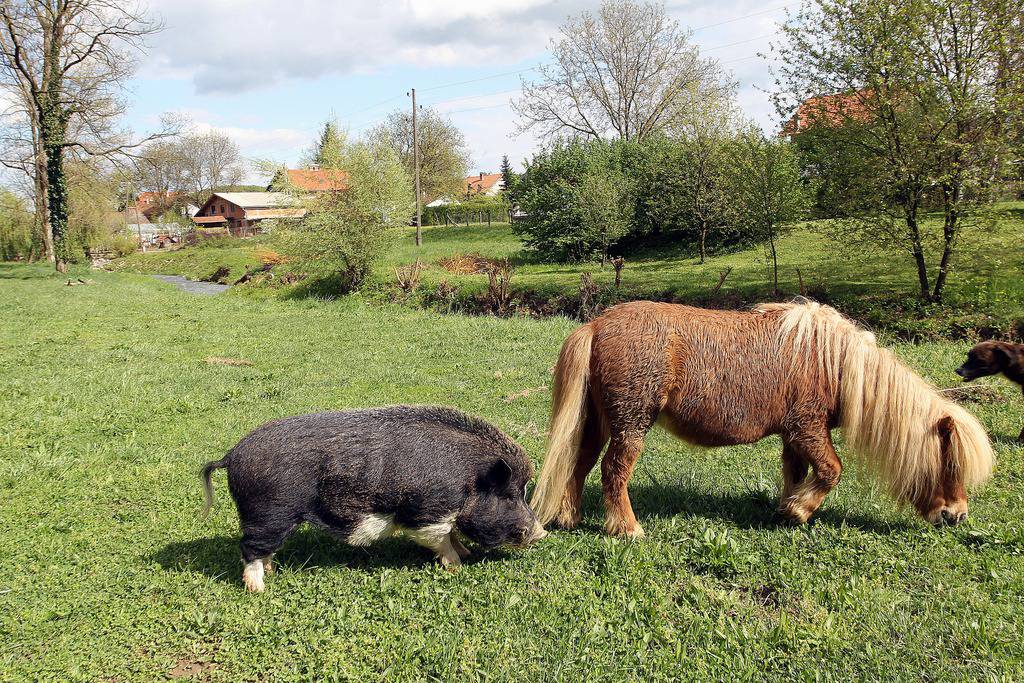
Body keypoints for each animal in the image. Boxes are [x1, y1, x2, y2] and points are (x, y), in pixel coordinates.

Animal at [202, 405, 548, 593]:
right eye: (510, 495)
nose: (542, 532)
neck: (470, 479)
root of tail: (231, 456)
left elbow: (452, 534)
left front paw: (465, 552)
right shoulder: (426, 512)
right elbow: (440, 539)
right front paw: (457, 566)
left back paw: (272, 572)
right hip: (268, 513)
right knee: (250, 549)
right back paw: (258, 589)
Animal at [532, 301, 995, 536]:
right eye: (949, 464)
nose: (956, 516)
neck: (833, 362)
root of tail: (595, 325)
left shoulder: (795, 435)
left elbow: (797, 472)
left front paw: (786, 507)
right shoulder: (808, 429)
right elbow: (831, 470)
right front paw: (799, 511)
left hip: (599, 422)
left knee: (580, 464)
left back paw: (570, 517)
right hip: (631, 423)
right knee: (613, 471)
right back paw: (627, 529)